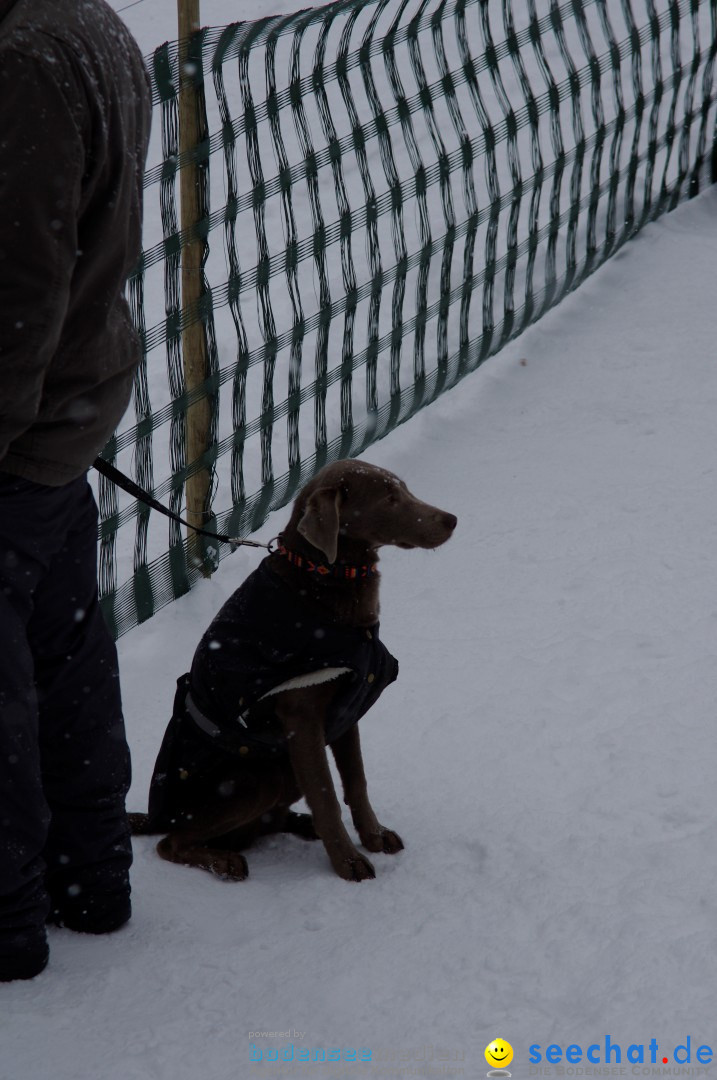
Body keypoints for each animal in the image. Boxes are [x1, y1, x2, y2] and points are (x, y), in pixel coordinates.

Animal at [129, 460, 455, 881]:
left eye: (404, 489)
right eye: (389, 498)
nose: (452, 519)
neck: (322, 575)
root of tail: (154, 817)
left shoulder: (346, 711)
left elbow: (356, 782)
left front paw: (374, 835)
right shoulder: (302, 717)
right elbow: (326, 794)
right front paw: (348, 862)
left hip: (283, 771)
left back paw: (302, 825)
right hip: (260, 778)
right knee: (172, 843)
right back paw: (223, 861)